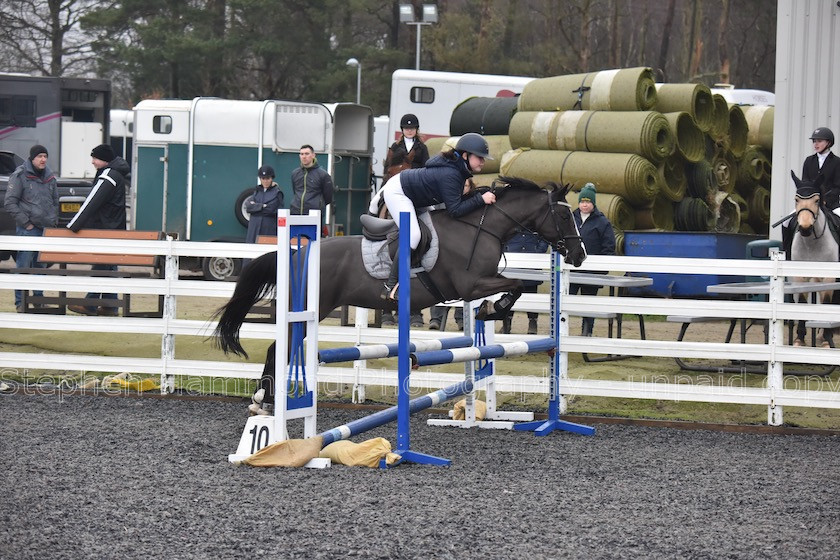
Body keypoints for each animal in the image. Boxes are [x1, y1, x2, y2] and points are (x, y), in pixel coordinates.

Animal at [213, 176, 588, 406]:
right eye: (564, 218)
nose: (580, 255)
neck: (481, 227)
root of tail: (297, 251)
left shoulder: (479, 281)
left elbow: (517, 285)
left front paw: (489, 310)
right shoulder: (471, 284)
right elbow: (517, 285)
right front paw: (491, 308)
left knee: (284, 347)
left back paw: (266, 398)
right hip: (309, 307)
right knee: (280, 345)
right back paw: (263, 398)